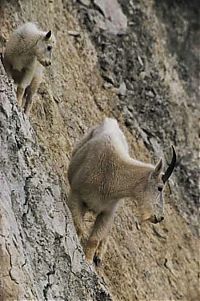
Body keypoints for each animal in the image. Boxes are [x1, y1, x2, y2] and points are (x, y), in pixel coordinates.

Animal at [67, 117, 177, 264]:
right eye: (160, 188)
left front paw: (89, 260)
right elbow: (78, 226)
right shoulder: (76, 194)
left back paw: (99, 255)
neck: (112, 176)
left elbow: (94, 239)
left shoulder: (108, 211)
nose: (160, 217)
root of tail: (110, 121)